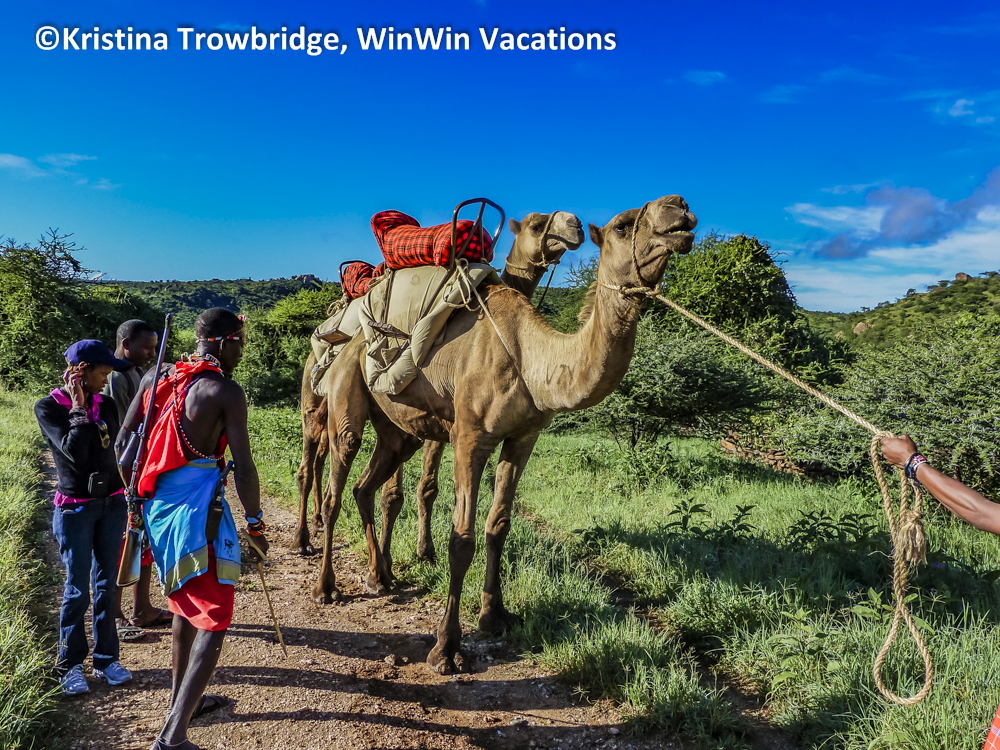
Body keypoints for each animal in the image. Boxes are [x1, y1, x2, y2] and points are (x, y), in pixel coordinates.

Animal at [295, 211, 585, 557]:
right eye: (537, 225)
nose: (575, 226)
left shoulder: (436, 424)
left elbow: (426, 487)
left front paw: (423, 551)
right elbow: (394, 494)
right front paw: (399, 554)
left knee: (323, 455)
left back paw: (318, 523)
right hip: (313, 396)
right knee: (308, 460)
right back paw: (302, 540)